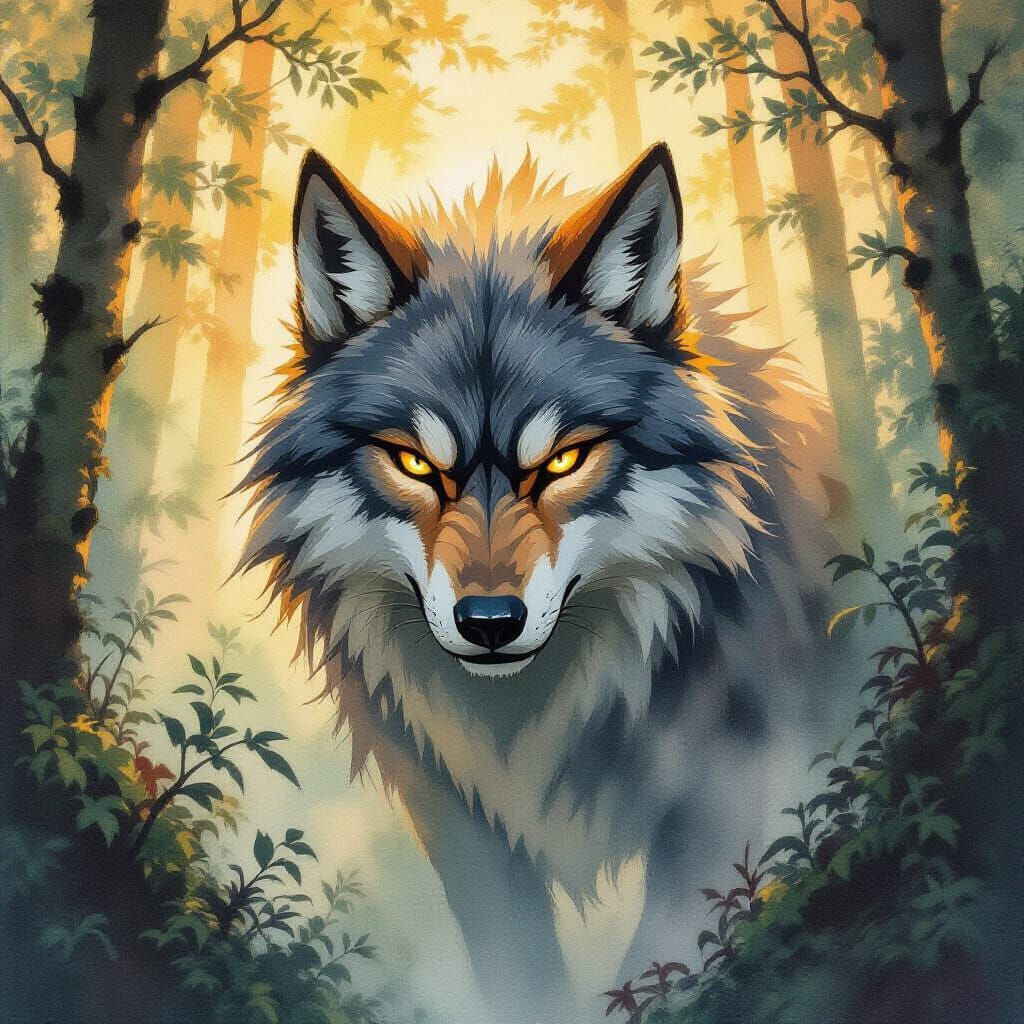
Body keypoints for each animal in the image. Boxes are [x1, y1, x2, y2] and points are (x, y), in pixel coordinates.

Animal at [238, 143, 839, 1021]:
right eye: (414, 463)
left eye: (563, 460)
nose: (490, 621)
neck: (537, 715)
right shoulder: (455, 810)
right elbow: (518, 969)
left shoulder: (725, 780)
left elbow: (661, 954)